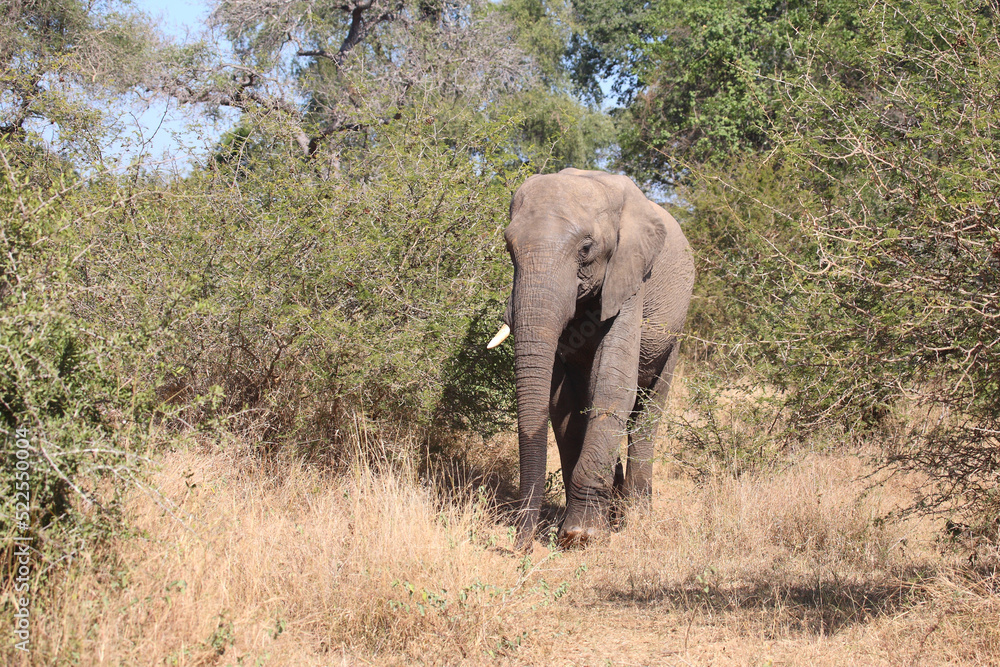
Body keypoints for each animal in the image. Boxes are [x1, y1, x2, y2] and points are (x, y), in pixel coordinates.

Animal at [487, 168, 695, 548]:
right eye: (509, 247)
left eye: (585, 249)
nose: (519, 545)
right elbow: (562, 403)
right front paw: (573, 530)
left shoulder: (632, 277)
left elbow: (613, 383)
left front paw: (581, 535)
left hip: (676, 334)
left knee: (648, 414)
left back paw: (635, 517)